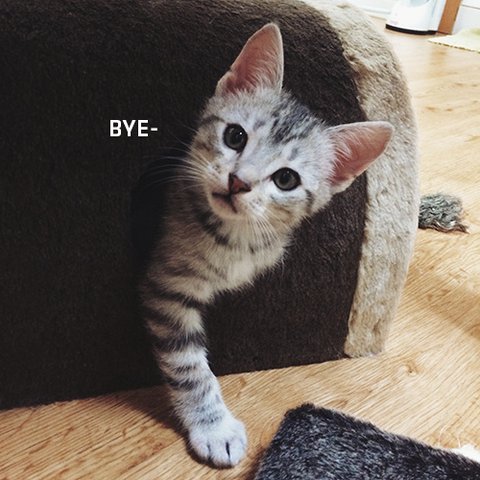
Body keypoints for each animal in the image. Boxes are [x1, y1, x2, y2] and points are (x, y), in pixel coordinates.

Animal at [139, 23, 393, 467]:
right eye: (235, 136)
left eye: (286, 179)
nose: (238, 181)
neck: (235, 239)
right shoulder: (166, 288)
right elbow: (188, 366)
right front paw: (213, 426)